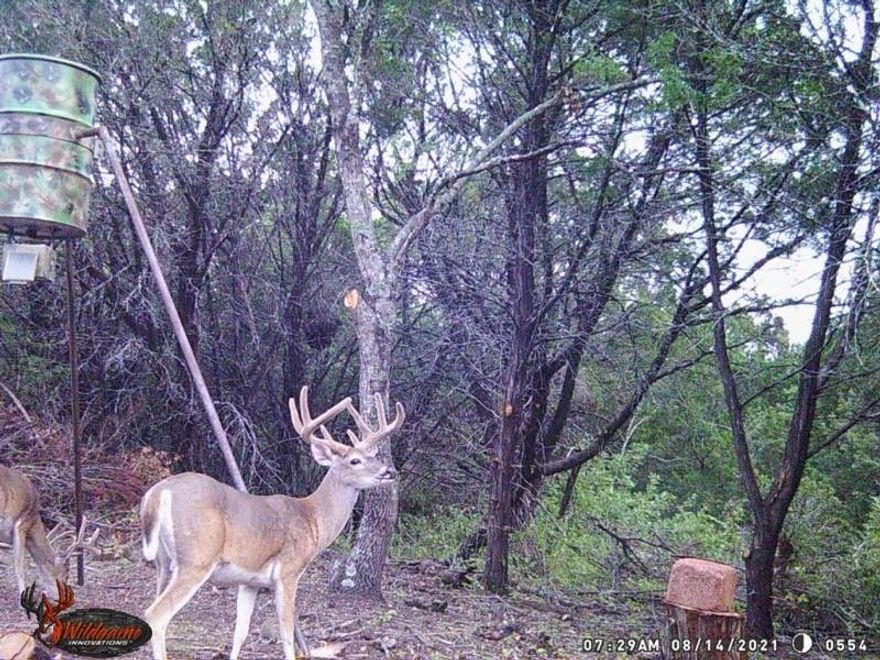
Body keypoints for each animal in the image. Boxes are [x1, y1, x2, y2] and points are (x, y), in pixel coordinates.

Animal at [139, 386, 405, 660]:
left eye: (373, 455)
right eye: (354, 461)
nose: (390, 472)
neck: (313, 519)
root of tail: (156, 495)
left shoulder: (250, 581)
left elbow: (240, 632)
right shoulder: (288, 571)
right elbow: (286, 634)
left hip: (163, 562)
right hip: (196, 558)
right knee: (156, 615)